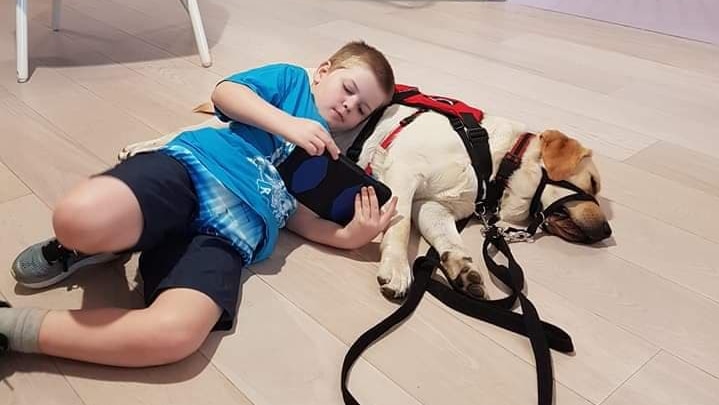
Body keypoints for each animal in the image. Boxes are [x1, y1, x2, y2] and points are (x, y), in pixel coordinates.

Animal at [122, 101, 612, 300]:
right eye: (591, 183)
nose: (607, 231)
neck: (492, 160)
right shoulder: (403, 173)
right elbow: (398, 226)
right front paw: (397, 270)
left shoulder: (434, 206)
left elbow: (445, 237)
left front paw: (461, 267)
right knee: (189, 133)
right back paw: (140, 146)